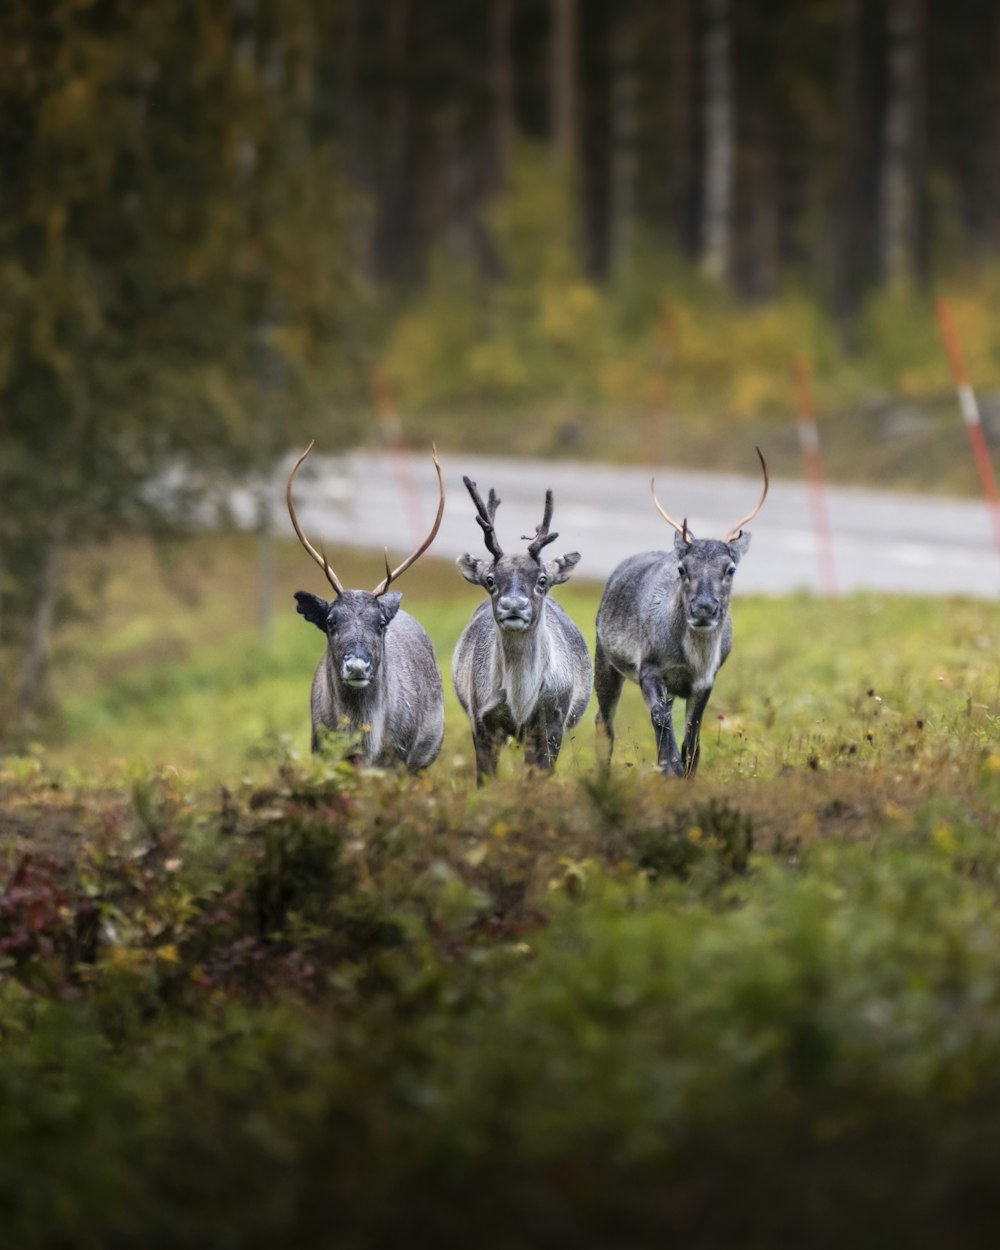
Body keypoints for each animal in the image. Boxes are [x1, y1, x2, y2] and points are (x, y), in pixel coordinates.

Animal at [288, 440, 445, 770]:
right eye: (330, 621)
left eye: (381, 623)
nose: (358, 666)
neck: (364, 745)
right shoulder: (320, 751)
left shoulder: (399, 759)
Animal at [455, 477, 595, 780]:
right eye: (490, 579)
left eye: (542, 580)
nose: (513, 606)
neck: (520, 702)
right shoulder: (483, 722)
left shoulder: (550, 723)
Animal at [595, 450, 775, 775]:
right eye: (682, 569)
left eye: (730, 569)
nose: (703, 607)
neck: (691, 659)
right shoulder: (648, 669)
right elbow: (662, 726)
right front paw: (672, 770)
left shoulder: (705, 681)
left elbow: (693, 740)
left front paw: (685, 772)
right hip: (605, 660)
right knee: (604, 724)